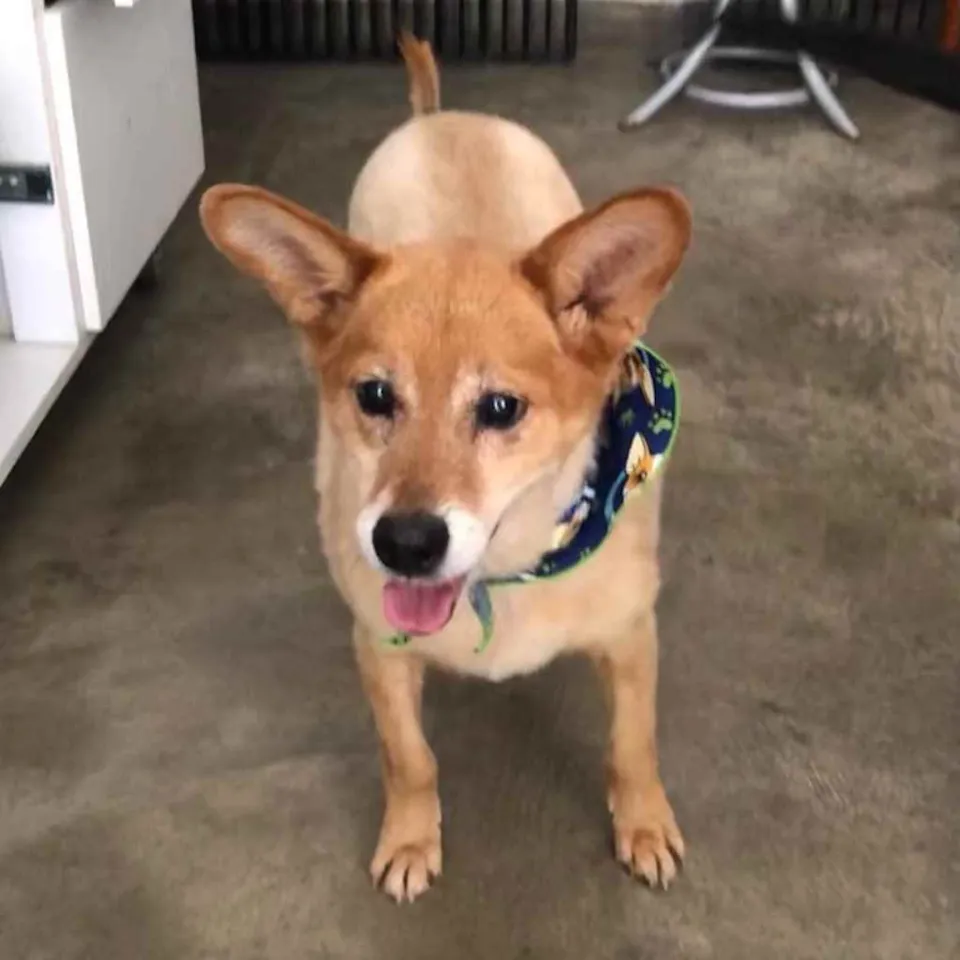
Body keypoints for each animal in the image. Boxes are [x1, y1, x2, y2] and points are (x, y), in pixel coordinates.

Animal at [200, 33, 692, 903]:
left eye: (501, 408)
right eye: (373, 395)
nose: (404, 542)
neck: (501, 576)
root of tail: (439, 117)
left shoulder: (632, 637)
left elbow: (633, 745)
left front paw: (642, 823)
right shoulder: (378, 649)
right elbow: (410, 759)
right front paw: (409, 838)